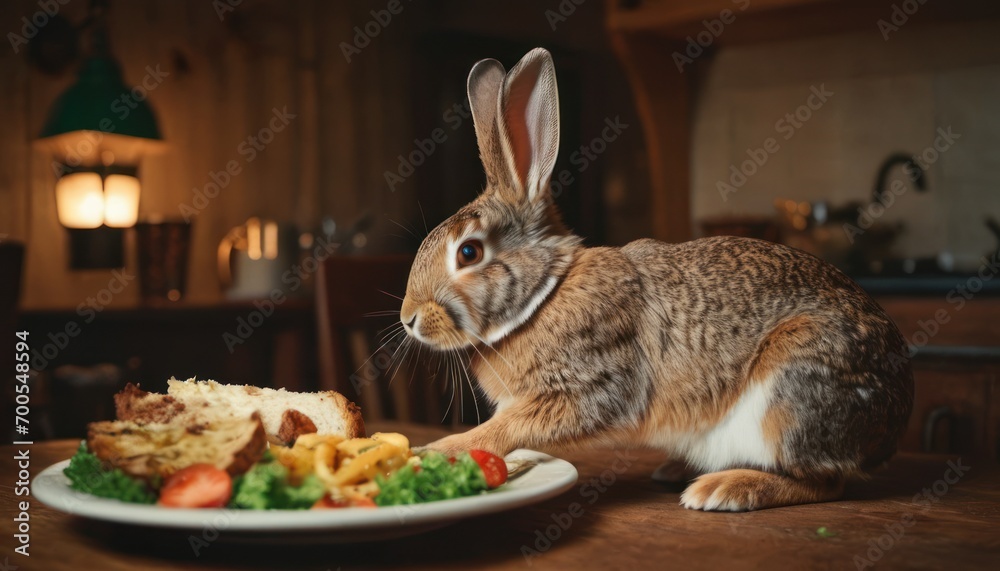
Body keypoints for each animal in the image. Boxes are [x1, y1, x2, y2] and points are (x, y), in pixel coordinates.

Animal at [398, 49, 916, 512]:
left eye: (469, 252)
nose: (409, 319)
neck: (544, 294)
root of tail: (892, 422)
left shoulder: (590, 386)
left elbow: (505, 430)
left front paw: (435, 451)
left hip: (790, 395)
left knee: (824, 482)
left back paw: (723, 490)